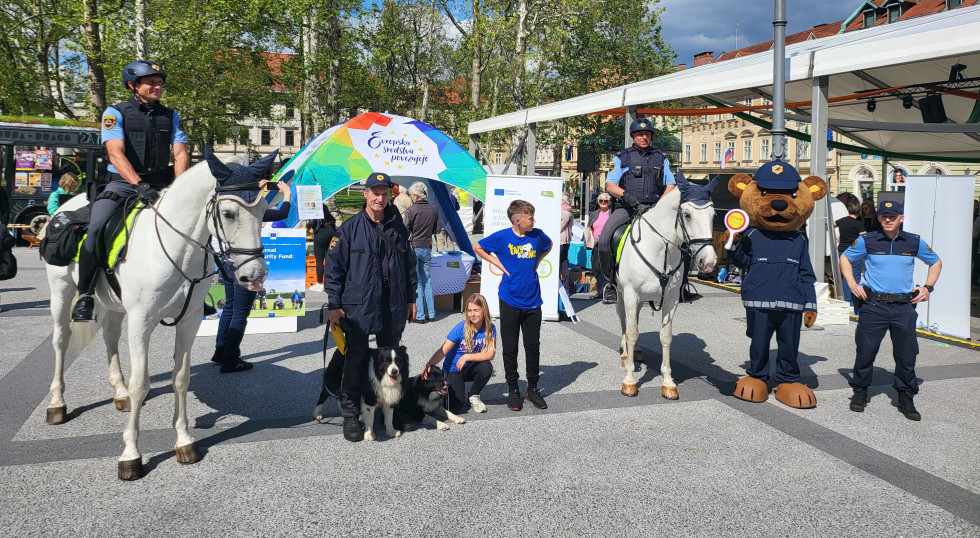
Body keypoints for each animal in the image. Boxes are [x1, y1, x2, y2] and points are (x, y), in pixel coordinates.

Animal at [44, 153, 270, 480]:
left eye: (265, 211)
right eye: (228, 213)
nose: (254, 275)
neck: (178, 250)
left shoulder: (189, 321)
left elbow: (181, 378)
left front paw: (184, 441)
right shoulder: (141, 321)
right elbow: (141, 383)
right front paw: (130, 454)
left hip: (114, 305)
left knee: (110, 336)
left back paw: (120, 393)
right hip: (61, 291)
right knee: (61, 340)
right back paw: (57, 404)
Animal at [620, 180, 720, 398]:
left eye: (713, 215)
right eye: (687, 215)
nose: (708, 262)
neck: (659, 248)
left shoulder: (671, 299)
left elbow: (665, 337)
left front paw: (668, 382)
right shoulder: (630, 294)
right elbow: (631, 332)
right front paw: (629, 380)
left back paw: (636, 351)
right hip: (621, 295)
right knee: (624, 323)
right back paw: (625, 353)